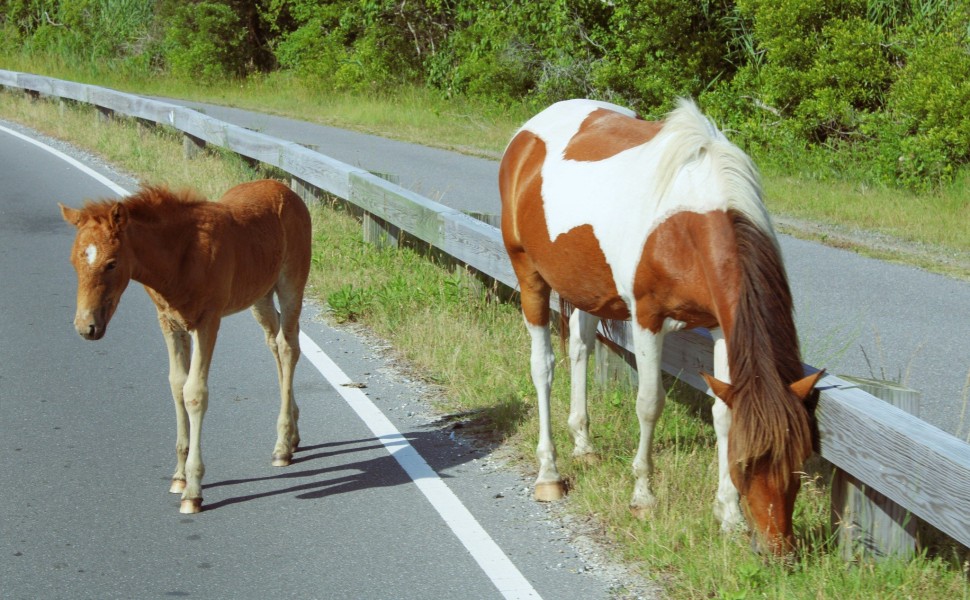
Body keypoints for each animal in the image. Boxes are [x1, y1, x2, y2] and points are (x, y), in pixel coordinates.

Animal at [59, 178, 310, 510]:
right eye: (73, 262)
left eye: (111, 264)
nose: (86, 326)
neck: (180, 258)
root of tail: (286, 190)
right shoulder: (169, 323)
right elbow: (177, 384)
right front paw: (178, 476)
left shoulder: (208, 322)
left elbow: (195, 393)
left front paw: (193, 490)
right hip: (260, 295)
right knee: (275, 341)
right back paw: (293, 435)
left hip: (292, 282)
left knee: (288, 345)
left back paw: (281, 446)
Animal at [500, 98, 824, 552]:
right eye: (747, 463)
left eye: (799, 458)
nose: (777, 548)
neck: (690, 218)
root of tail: (526, 134)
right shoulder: (647, 319)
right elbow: (649, 403)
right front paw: (643, 498)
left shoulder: (722, 326)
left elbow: (723, 413)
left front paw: (728, 516)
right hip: (530, 275)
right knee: (542, 368)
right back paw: (549, 473)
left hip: (585, 288)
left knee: (579, 349)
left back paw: (584, 444)